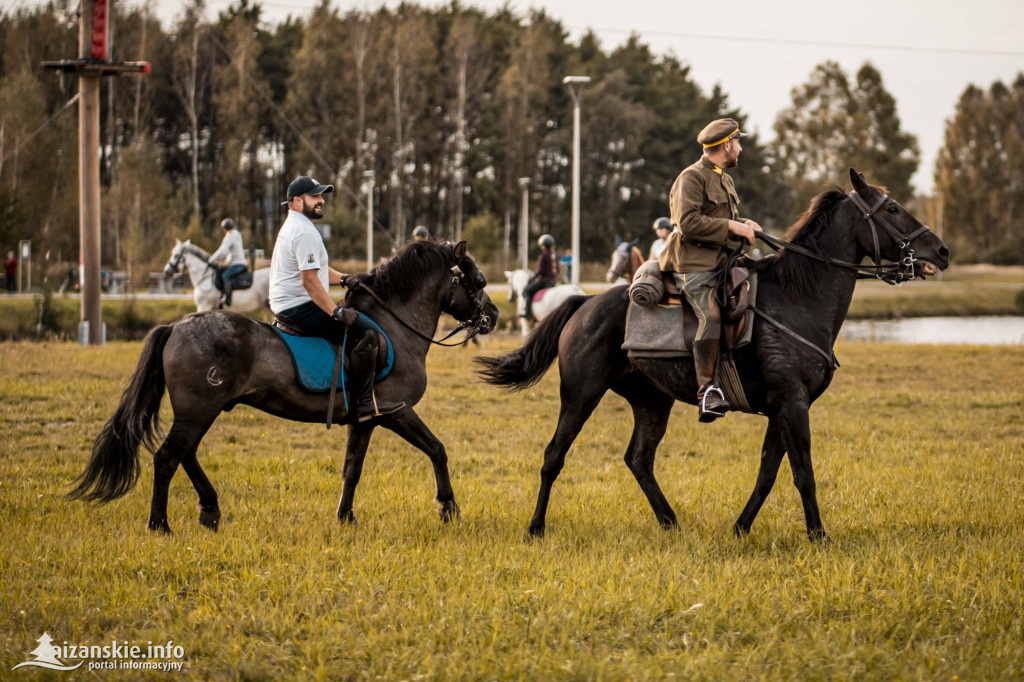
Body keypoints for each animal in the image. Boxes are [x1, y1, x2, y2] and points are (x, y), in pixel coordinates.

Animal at [71, 238, 499, 532]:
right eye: (479, 279)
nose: (492, 316)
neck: (395, 325)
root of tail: (176, 325)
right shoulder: (396, 411)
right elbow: (437, 449)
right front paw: (448, 507)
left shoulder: (365, 420)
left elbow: (352, 469)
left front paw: (345, 517)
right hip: (198, 410)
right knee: (167, 457)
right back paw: (160, 524)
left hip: (200, 411)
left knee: (185, 453)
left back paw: (209, 509)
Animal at [479, 171, 950, 540]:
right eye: (893, 210)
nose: (942, 251)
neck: (798, 298)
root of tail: (584, 303)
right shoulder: (793, 404)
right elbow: (803, 474)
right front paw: (819, 535)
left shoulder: (782, 408)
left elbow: (767, 474)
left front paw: (741, 528)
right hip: (580, 395)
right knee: (553, 456)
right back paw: (536, 527)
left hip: (652, 401)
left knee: (638, 459)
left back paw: (670, 522)